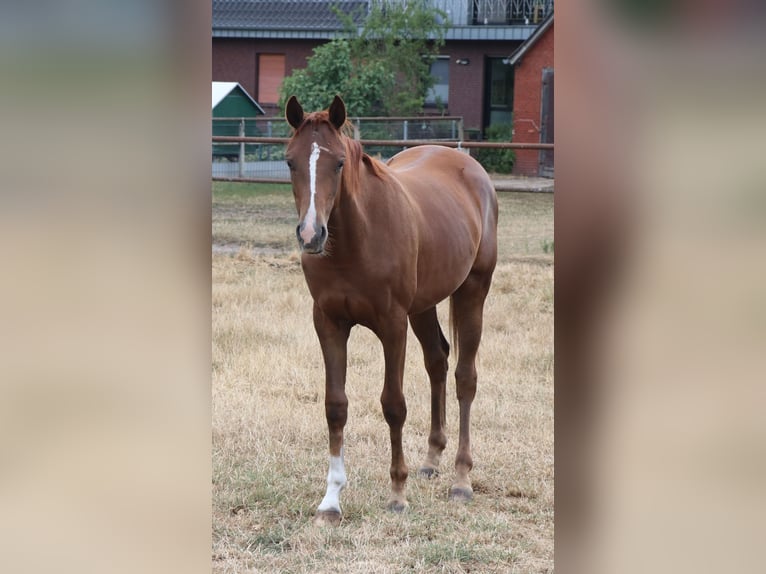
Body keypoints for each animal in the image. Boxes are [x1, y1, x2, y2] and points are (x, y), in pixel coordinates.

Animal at [284, 95, 498, 525]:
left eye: (338, 163)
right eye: (289, 162)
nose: (311, 235)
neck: (356, 240)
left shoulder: (392, 324)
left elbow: (393, 405)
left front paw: (398, 493)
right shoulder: (328, 323)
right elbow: (335, 406)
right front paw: (331, 501)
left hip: (473, 290)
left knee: (465, 377)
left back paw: (461, 479)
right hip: (424, 306)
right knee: (437, 361)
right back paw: (431, 459)